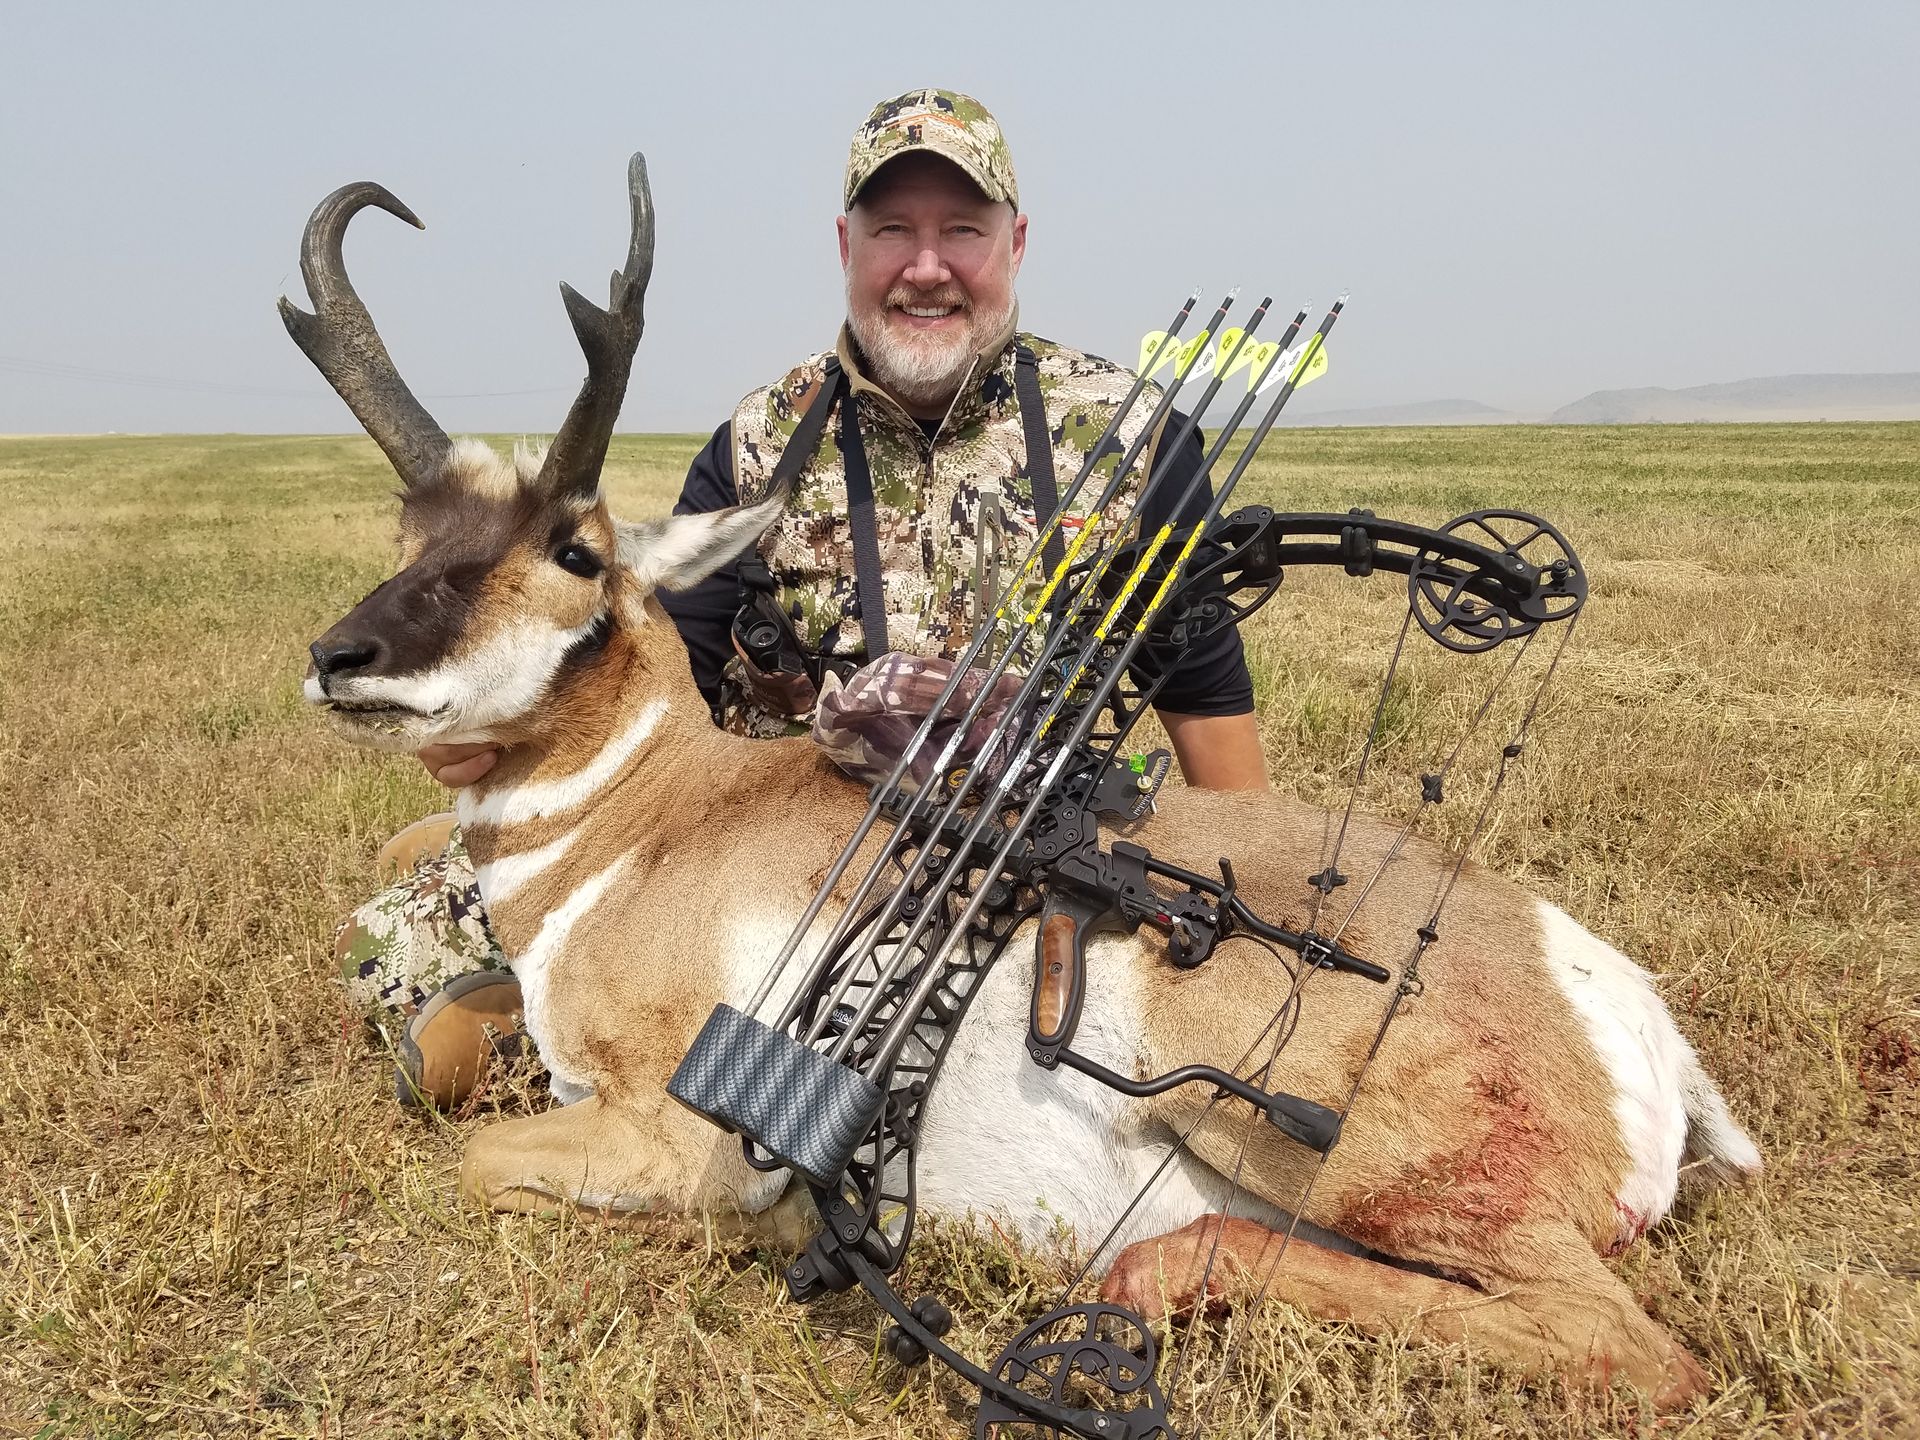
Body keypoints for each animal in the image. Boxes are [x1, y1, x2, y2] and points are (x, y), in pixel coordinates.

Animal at [293, 155, 1759, 1409]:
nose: (337, 657)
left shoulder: (669, 1128)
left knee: (1626, 1345)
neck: (649, 823)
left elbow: (471, 1156)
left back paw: (1151, 1279)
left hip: (1289, 1124)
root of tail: (1615, 1004)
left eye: (576, 550)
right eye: (414, 529)